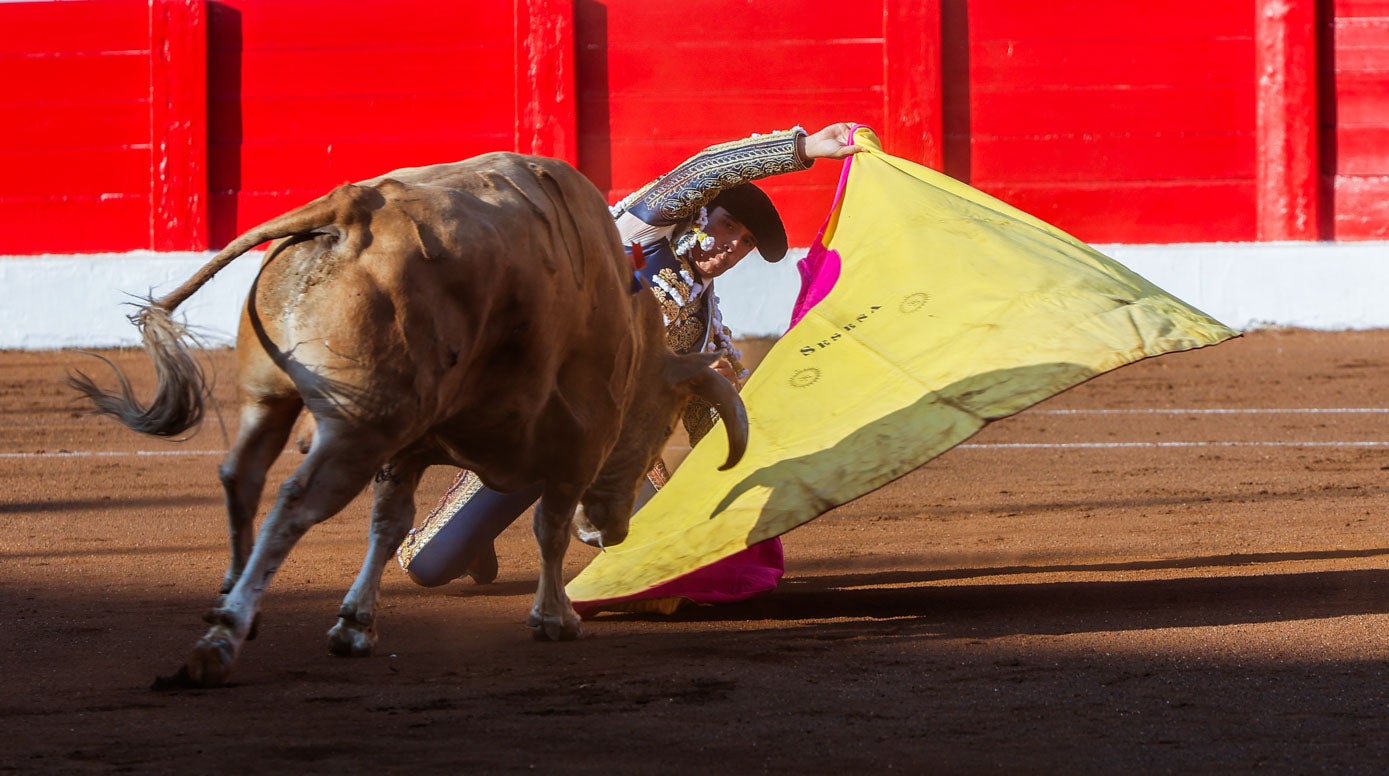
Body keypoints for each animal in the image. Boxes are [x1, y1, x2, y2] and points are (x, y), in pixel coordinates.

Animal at [73, 154, 750, 688]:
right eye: (659, 427)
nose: (612, 530)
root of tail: (350, 211)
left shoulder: (412, 446)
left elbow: (389, 524)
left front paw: (354, 626)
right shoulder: (574, 450)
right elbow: (549, 529)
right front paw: (555, 618)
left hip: (271, 399)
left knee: (241, 476)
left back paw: (235, 606)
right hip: (358, 427)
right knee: (293, 503)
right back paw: (220, 643)